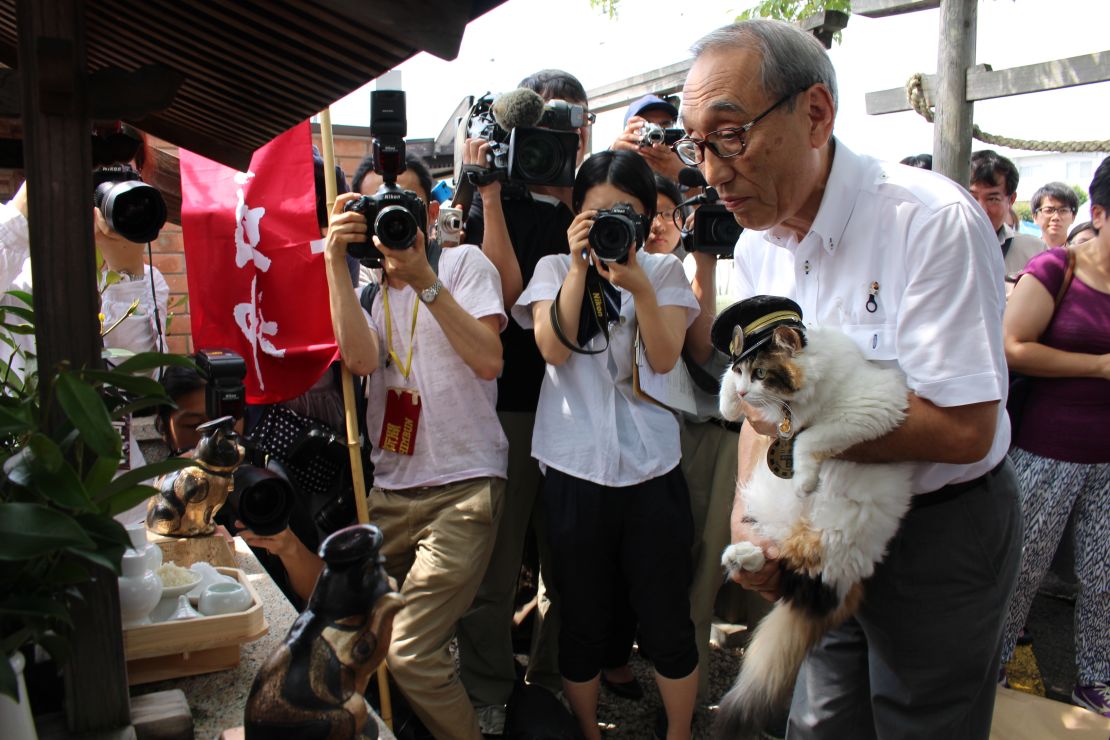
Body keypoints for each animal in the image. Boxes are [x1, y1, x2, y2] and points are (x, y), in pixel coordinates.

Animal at [714, 321, 914, 736]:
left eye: (761, 373)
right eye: (743, 370)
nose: (743, 392)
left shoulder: (874, 407)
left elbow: (808, 438)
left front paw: (805, 479)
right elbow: (726, 382)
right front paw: (728, 402)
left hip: (834, 543)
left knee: (808, 582)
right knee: (775, 556)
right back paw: (739, 555)